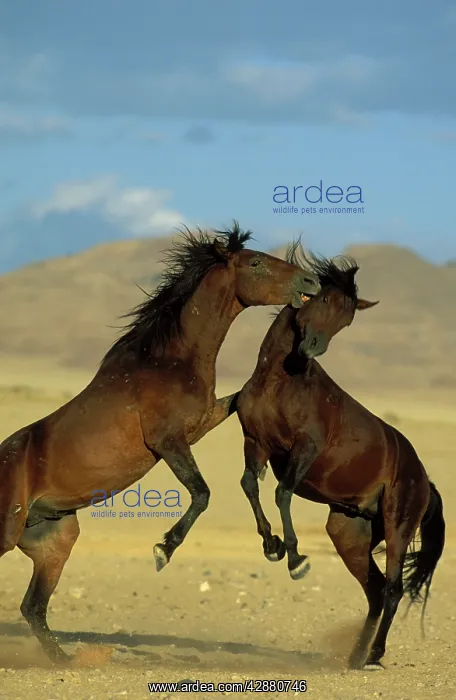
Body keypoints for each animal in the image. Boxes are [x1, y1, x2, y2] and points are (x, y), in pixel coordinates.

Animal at [0, 222, 322, 665]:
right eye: (256, 262)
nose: (312, 282)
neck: (169, 361)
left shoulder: (203, 421)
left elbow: (239, 413)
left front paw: (274, 546)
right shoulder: (167, 441)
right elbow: (201, 493)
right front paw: (163, 549)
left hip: (54, 540)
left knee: (33, 606)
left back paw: (64, 660)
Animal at [235, 252, 445, 671]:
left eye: (348, 319)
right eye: (325, 299)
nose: (312, 348)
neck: (279, 382)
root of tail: (424, 481)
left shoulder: (304, 449)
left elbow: (282, 493)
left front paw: (295, 558)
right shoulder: (256, 443)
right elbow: (250, 485)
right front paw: (272, 545)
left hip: (397, 526)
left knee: (393, 589)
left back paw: (374, 655)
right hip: (349, 531)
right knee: (376, 590)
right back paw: (355, 657)